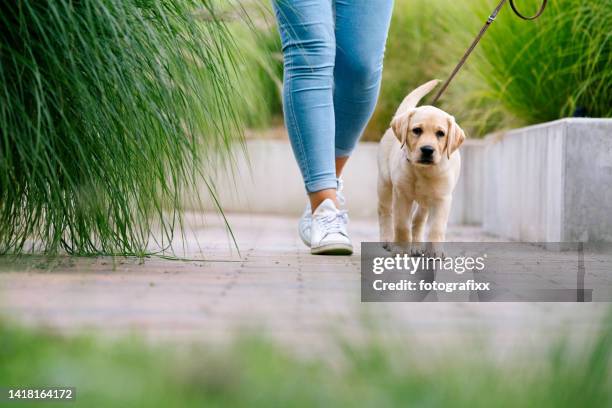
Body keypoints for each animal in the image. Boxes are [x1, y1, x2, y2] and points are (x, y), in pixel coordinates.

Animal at [376, 79, 466, 253]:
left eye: (441, 134)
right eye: (417, 130)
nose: (427, 150)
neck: (423, 171)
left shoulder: (442, 199)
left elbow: (436, 228)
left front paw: (435, 252)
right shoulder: (401, 195)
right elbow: (401, 225)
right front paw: (401, 249)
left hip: (425, 202)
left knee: (418, 220)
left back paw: (417, 246)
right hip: (384, 184)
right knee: (385, 212)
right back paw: (387, 239)